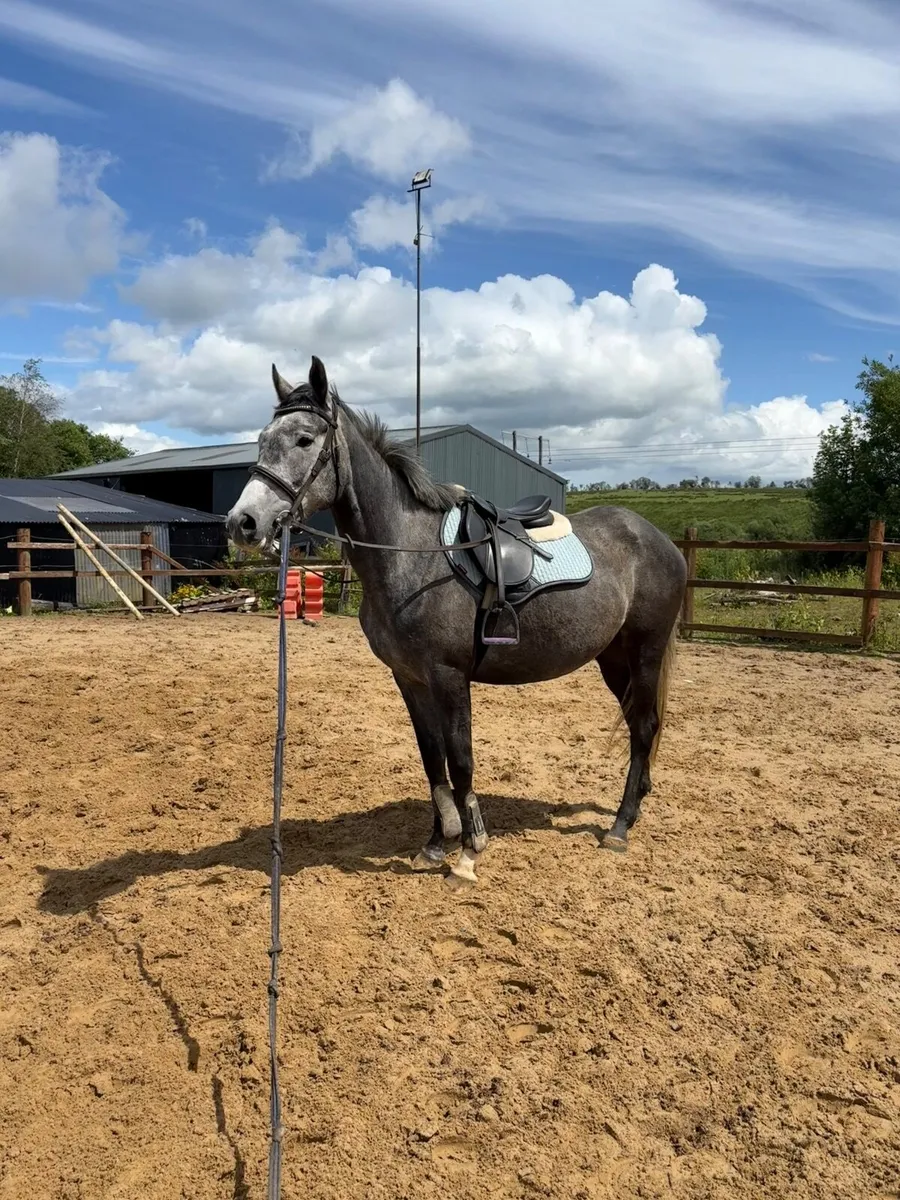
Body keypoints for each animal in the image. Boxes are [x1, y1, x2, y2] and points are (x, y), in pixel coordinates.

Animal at [226, 356, 687, 890]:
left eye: (304, 439)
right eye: (263, 439)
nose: (242, 522)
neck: (411, 554)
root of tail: (660, 540)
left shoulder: (450, 676)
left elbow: (461, 759)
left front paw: (468, 854)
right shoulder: (409, 678)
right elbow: (433, 759)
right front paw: (435, 844)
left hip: (645, 651)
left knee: (645, 726)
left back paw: (620, 825)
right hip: (613, 659)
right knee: (638, 725)